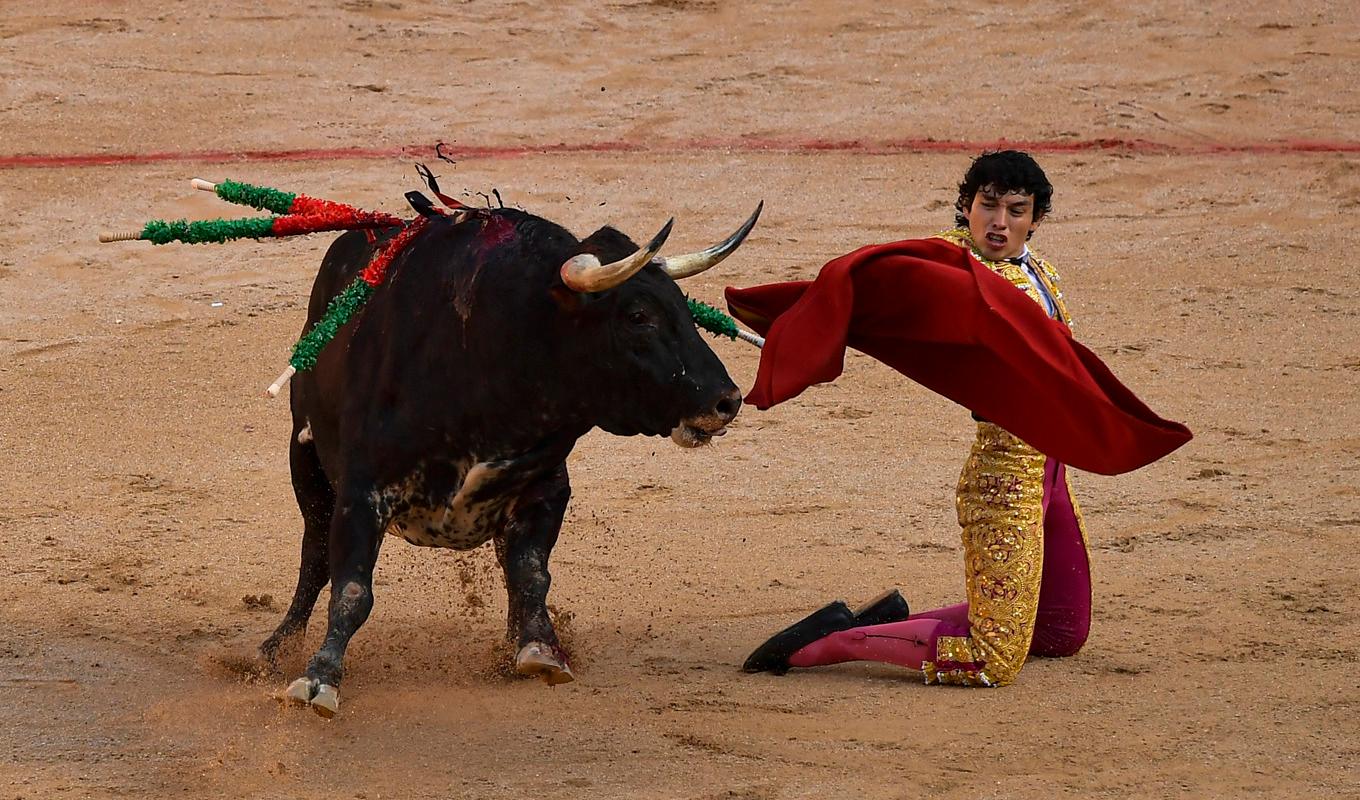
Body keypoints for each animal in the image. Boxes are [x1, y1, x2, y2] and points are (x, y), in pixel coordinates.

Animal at [259, 200, 761, 718]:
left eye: (683, 305)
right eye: (638, 315)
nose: (727, 400)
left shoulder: (546, 489)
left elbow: (530, 573)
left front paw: (539, 648)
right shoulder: (362, 492)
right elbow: (352, 589)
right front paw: (319, 679)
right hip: (306, 464)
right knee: (314, 556)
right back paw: (279, 648)